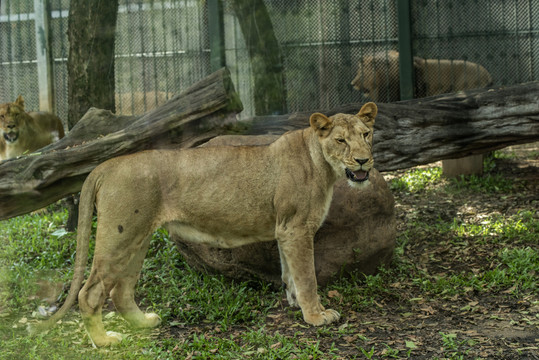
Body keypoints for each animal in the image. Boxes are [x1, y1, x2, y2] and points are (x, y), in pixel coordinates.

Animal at [33, 102, 380, 348]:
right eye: (340, 140)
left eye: (366, 135)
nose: (364, 160)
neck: (322, 164)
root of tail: (106, 165)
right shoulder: (296, 228)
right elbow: (307, 276)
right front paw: (317, 316)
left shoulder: (285, 230)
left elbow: (290, 273)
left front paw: (295, 304)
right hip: (120, 236)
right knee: (90, 293)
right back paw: (104, 341)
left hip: (137, 237)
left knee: (121, 290)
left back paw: (144, 323)